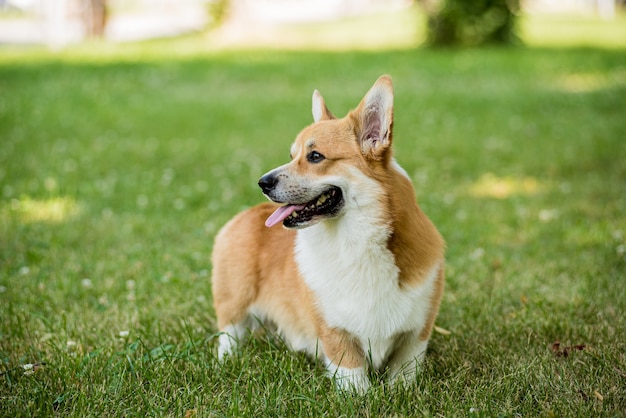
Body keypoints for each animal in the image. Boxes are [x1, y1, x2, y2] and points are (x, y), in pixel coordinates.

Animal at [211, 75, 444, 392]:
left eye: (315, 156)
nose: (262, 182)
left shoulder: (417, 331)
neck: (355, 242)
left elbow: (405, 370)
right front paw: (359, 396)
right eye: (292, 155)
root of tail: (249, 212)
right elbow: (351, 369)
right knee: (229, 335)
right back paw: (227, 361)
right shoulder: (333, 328)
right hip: (235, 301)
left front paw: (399, 392)